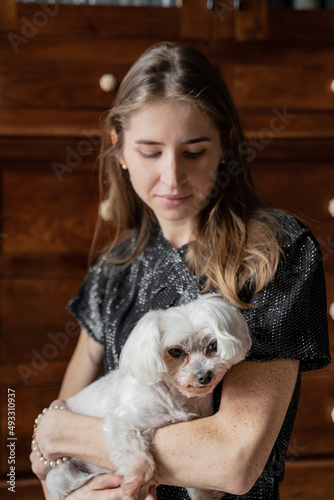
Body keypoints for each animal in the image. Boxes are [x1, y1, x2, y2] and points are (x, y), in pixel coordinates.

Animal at [46, 292, 250, 500]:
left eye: (213, 345)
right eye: (175, 351)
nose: (204, 376)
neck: (178, 398)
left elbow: (199, 485)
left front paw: (206, 494)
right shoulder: (120, 423)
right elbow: (140, 462)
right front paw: (135, 488)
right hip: (60, 476)